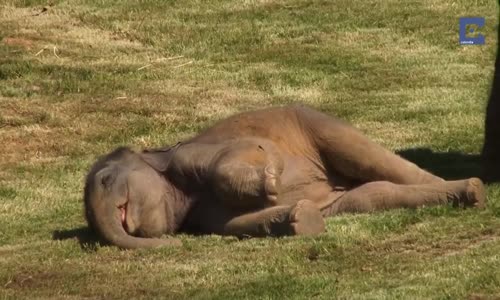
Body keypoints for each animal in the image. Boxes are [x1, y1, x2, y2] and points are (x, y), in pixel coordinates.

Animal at [84, 105, 486, 248]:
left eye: (105, 180)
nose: (174, 246)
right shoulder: (200, 218)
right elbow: (238, 224)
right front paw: (299, 216)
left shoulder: (192, 153)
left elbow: (252, 151)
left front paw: (272, 181)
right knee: (371, 196)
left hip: (314, 123)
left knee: (371, 159)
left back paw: (474, 191)